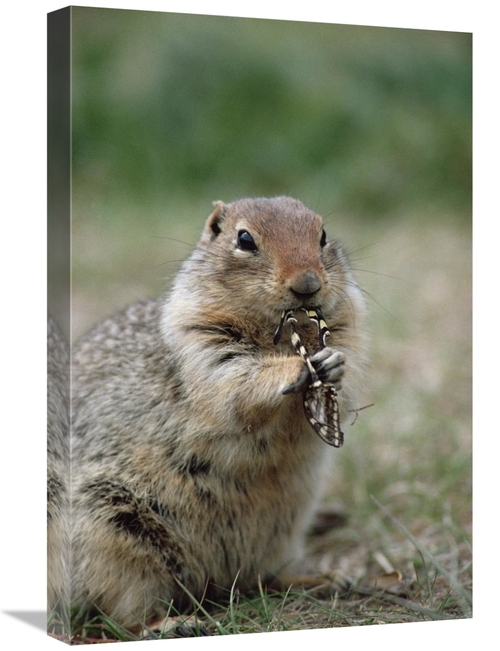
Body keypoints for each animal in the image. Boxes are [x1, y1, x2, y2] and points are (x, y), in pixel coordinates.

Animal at [49, 196, 367, 632]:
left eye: (322, 235)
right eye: (245, 239)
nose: (308, 283)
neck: (284, 335)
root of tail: (217, 582)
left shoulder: (348, 328)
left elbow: (345, 385)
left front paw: (335, 363)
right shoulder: (202, 345)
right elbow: (235, 384)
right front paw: (294, 369)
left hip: (284, 532)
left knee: (267, 576)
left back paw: (325, 578)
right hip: (115, 531)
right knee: (121, 614)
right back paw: (172, 623)